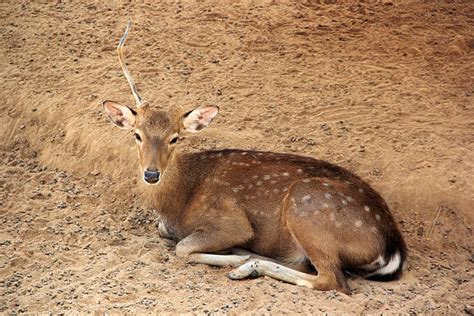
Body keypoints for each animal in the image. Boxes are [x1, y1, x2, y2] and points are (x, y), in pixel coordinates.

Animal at [103, 21, 408, 294]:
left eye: (174, 138)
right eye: (137, 135)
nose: (151, 174)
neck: (179, 201)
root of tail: (393, 248)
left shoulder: (231, 218)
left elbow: (183, 247)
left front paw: (236, 257)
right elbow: (165, 232)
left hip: (307, 209)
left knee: (332, 280)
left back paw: (246, 266)